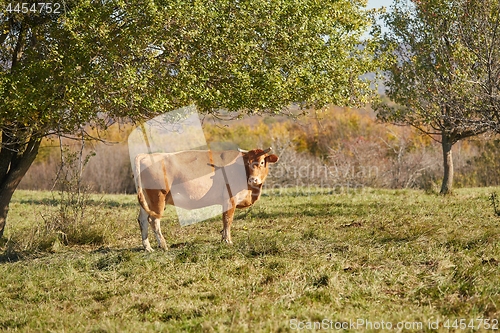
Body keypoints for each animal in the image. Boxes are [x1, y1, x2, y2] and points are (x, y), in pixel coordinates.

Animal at [135, 147, 280, 250]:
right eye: (248, 163)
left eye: (262, 162)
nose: (253, 179)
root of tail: (146, 155)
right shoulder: (230, 199)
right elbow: (227, 220)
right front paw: (228, 241)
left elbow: (224, 220)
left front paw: (223, 239)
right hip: (158, 197)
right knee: (153, 220)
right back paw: (163, 245)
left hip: (147, 200)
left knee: (142, 219)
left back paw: (148, 247)